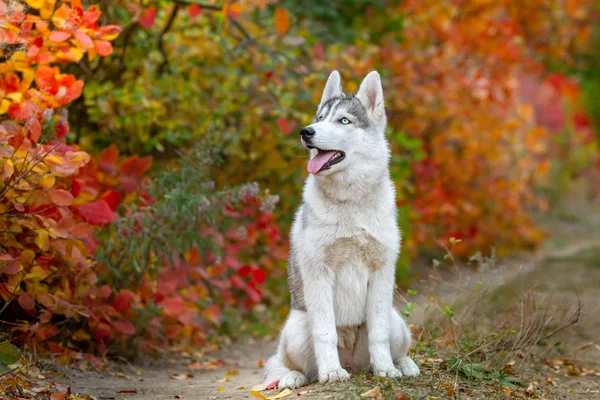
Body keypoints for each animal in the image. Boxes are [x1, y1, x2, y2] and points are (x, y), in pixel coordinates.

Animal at [264, 70, 420, 390]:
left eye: (344, 120)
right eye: (320, 117)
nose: (306, 132)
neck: (350, 203)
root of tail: (353, 363)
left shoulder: (382, 271)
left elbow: (378, 335)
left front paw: (386, 370)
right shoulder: (318, 272)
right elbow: (325, 333)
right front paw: (331, 373)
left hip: (395, 319)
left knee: (396, 347)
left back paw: (402, 365)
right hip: (297, 328)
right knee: (291, 366)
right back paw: (295, 376)